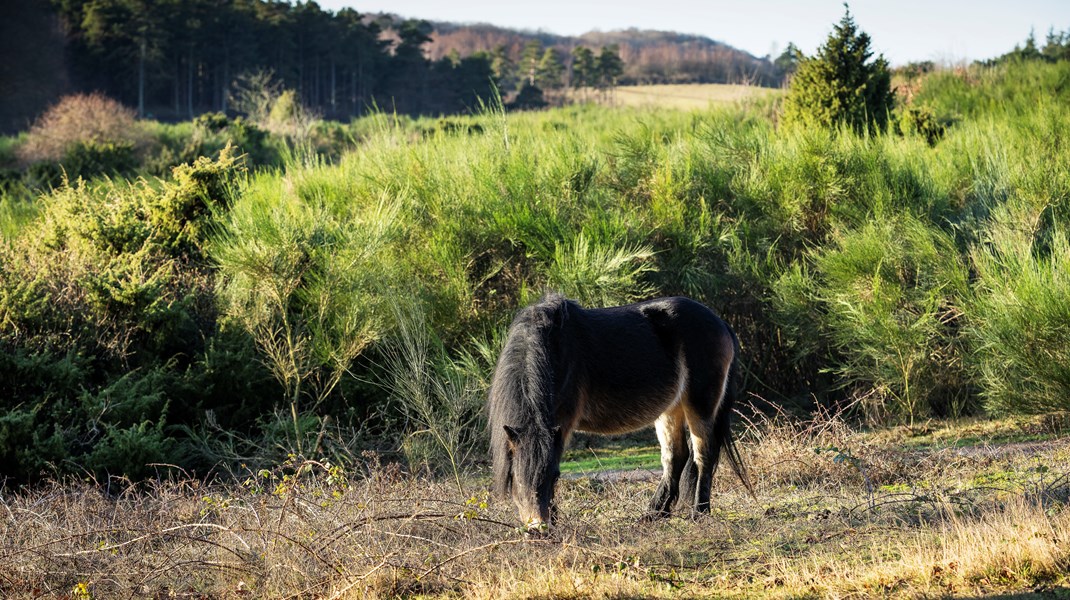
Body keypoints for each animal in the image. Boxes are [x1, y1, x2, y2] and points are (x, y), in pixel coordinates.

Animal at [487, 293, 749, 528]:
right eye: (515, 477)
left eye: (555, 476)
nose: (538, 529)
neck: (554, 349)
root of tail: (721, 323)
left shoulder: (562, 423)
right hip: (670, 409)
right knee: (676, 457)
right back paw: (653, 514)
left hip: (700, 405)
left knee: (703, 456)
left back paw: (699, 513)